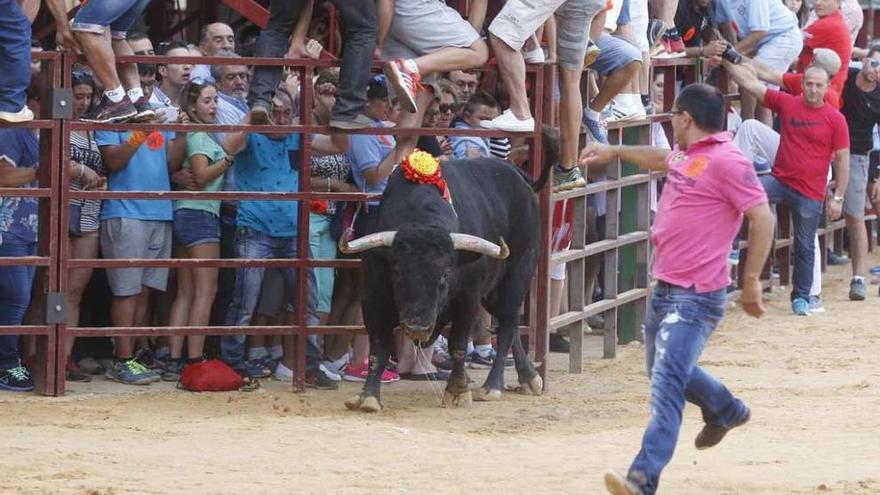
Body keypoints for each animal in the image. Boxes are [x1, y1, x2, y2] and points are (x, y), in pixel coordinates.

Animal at [342, 157, 552, 412]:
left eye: (445, 274)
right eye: (397, 271)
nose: (417, 327)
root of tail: (518, 175)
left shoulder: (468, 301)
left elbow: (458, 345)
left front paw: (458, 391)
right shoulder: (373, 301)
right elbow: (378, 349)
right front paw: (369, 396)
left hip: (518, 274)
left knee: (508, 324)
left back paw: (493, 386)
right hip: (493, 294)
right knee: (507, 323)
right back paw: (529, 378)